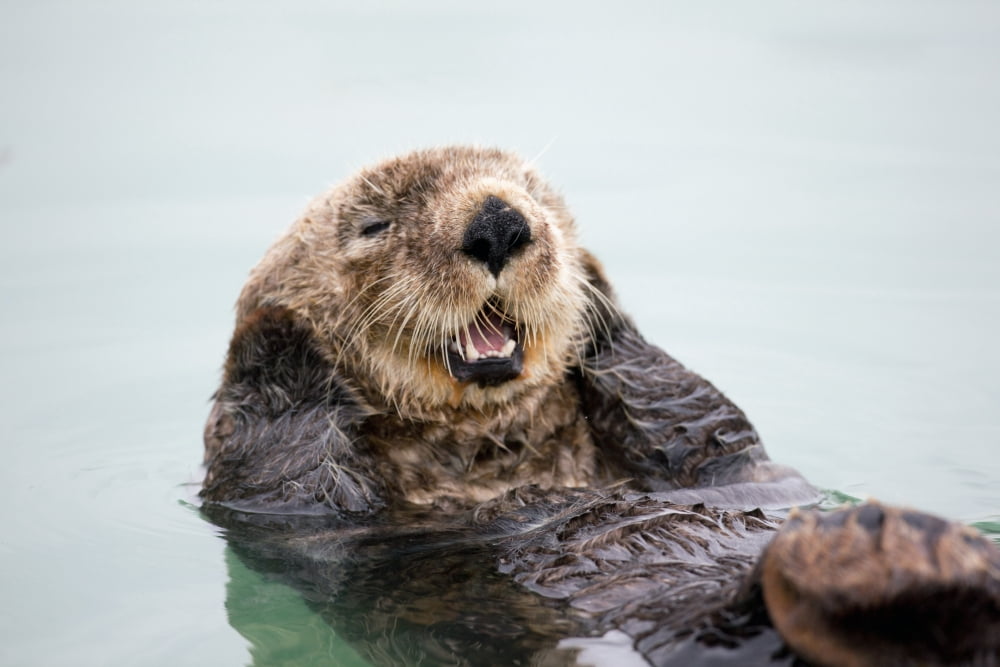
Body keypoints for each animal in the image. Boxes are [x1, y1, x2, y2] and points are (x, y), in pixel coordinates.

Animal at [202, 146, 1000, 665]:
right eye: (374, 226)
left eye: (537, 197)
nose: (500, 220)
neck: (494, 450)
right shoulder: (287, 514)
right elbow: (285, 461)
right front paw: (277, 333)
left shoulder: (710, 451)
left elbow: (696, 417)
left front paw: (597, 300)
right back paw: (880, 553)